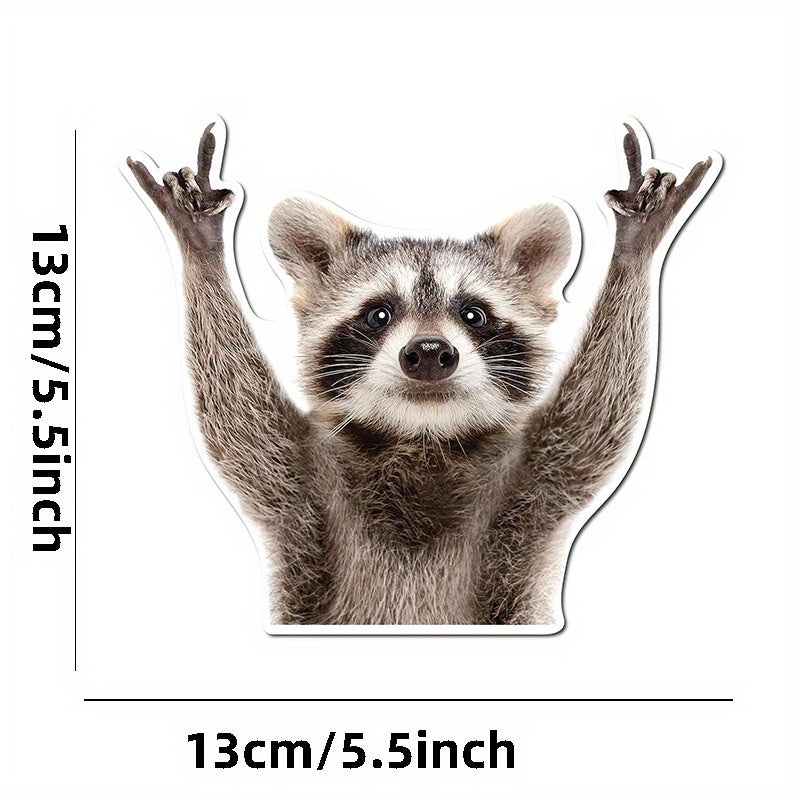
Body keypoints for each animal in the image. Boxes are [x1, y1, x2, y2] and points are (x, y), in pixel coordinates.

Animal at [127, 121, 717, 625]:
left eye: (473, 314)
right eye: (379, 314)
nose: (430, 352)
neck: (422, 436)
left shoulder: (533, 485)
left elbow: (596, 418)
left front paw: (634, 251)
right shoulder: (300, 486)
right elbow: (237, 418)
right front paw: (201, 250)